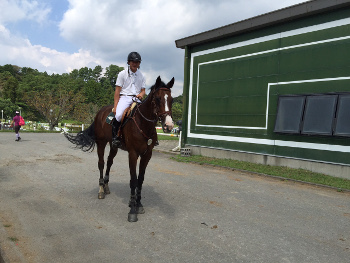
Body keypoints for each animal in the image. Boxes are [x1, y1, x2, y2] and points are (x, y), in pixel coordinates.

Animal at [65, 77, 174, 223]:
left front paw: (139, 204)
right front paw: (132, 209)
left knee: (109, 162)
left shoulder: (147, 155)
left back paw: (106, 186)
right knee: (101, 164)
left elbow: (140, 179)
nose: (169, 126)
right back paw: (101, 190)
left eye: (171, 100)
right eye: (157, 99)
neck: (142, 124)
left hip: (113, 146)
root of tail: (100, 112)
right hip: (101, 143)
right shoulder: (133, 154)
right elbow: (133, 180)